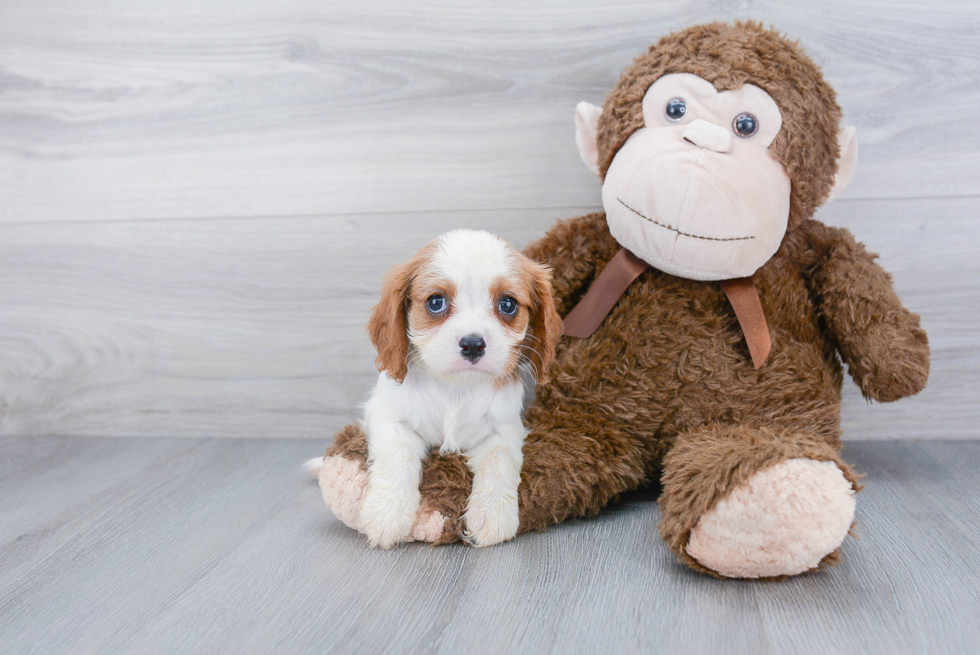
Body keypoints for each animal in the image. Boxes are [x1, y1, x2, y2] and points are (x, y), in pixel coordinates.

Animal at [308, 229, 568, 548]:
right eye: (436, 302)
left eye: (508, 304)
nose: (473, 344)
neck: (455, 387)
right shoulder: (388, 418)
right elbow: (398, 456)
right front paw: (387, 514)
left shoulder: (505, 429)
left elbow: (500, 461)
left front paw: (493, 516)